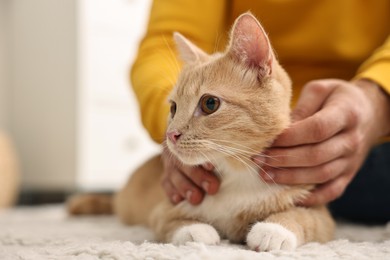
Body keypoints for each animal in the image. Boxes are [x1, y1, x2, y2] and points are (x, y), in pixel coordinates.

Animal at [68, 13, 334, 251]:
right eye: (173, 108)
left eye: (209, 104)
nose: (171, 135)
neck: (236, 172)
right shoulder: (163, 208)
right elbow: (171, 222)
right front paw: (195, 230)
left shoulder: (319, 213)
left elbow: (303, 217)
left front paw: (273, 230)